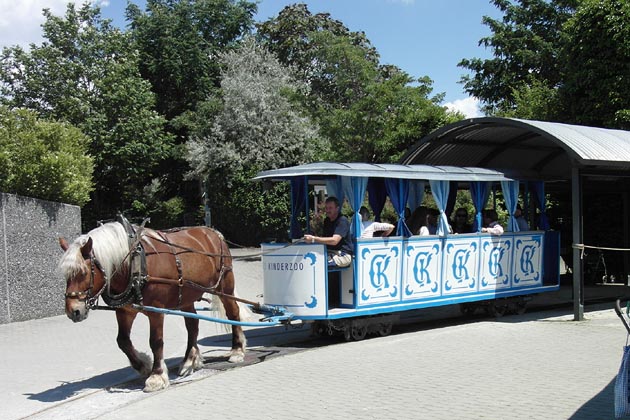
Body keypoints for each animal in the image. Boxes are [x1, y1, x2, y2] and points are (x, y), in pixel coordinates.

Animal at [58, 221, 247, 392]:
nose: (73, 311)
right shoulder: (125, 311)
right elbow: (122, 341)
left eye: (83, 273)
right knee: (192, 325)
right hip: (186, 297)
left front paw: (156, 376)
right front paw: (143, 365)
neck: (134, 263)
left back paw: (237, 350)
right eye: (66, 275)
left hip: (225, 286)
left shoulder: (156, 311)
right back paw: (189, 360)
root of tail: (214, 232)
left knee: (233, 313)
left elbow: (155, 341)